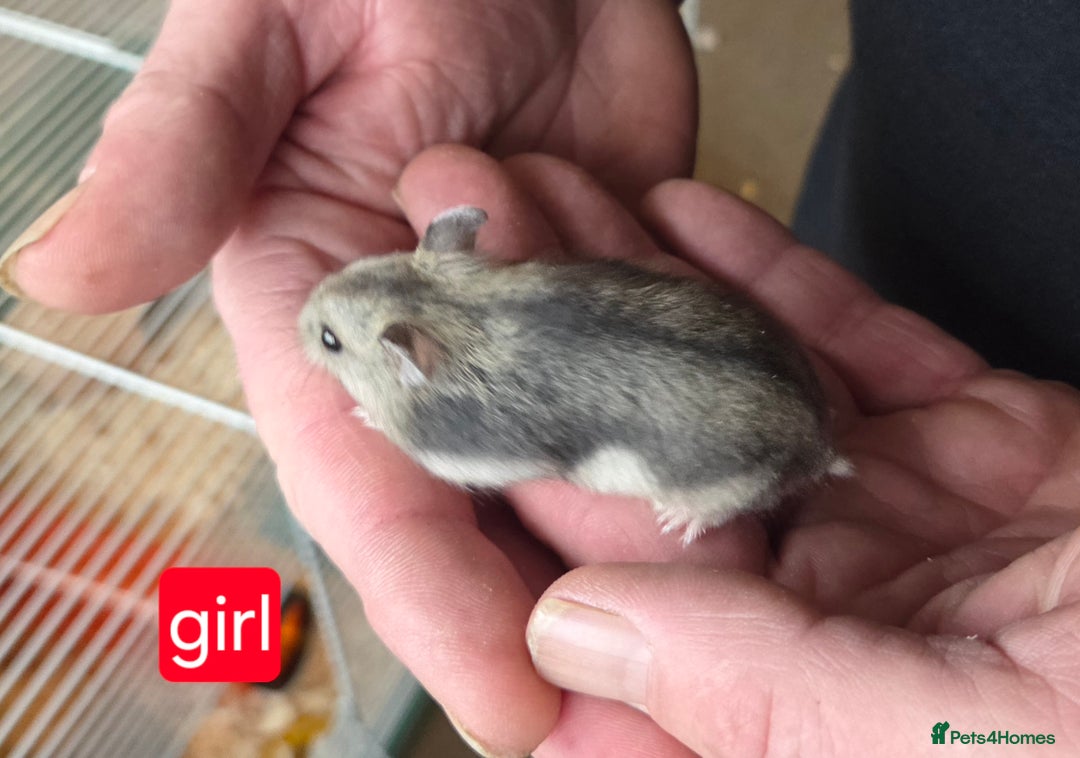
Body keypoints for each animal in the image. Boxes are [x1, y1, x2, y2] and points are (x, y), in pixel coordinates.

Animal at [299, 206, 851, 544]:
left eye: (330, 340)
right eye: (362, 263)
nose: (298, 319)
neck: (450, 311)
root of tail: (819, 443)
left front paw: (364, 414)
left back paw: (676, 521)